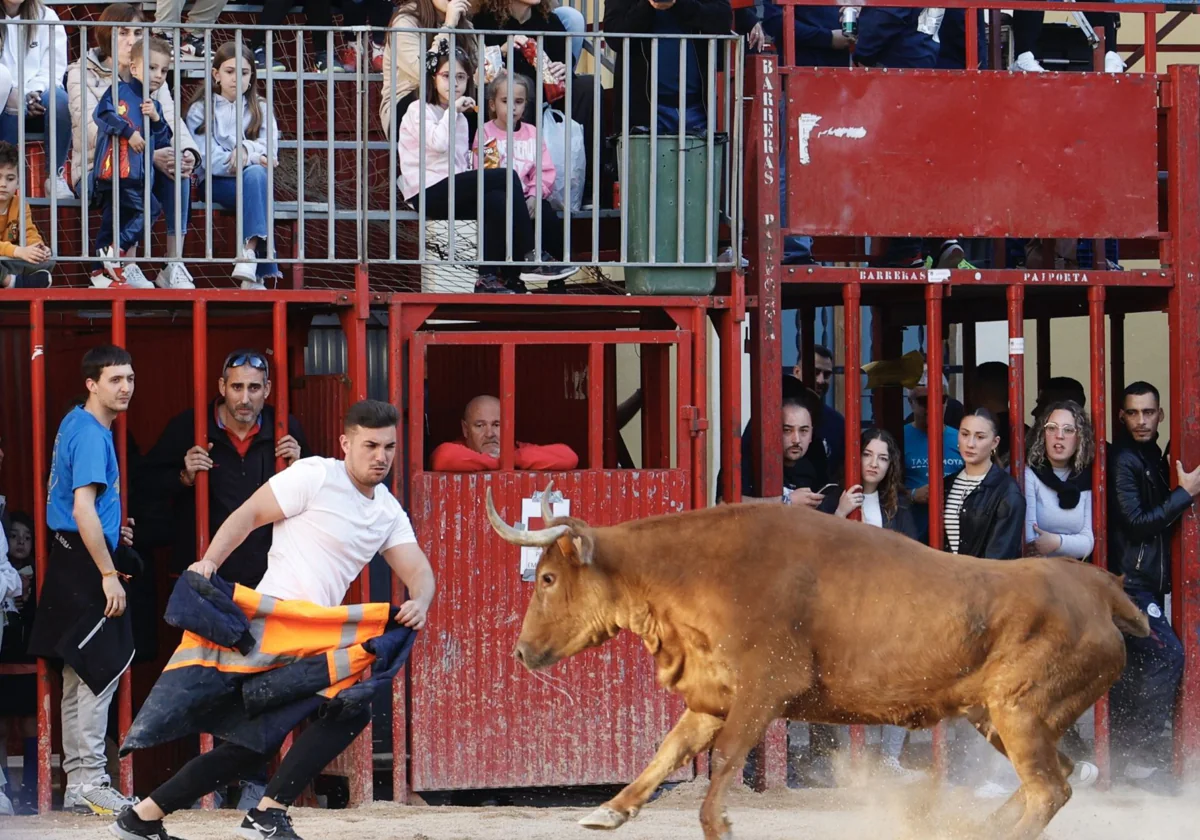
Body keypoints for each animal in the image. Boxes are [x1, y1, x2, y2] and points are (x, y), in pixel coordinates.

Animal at [487, 482, 1152, 840]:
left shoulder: (764, 688)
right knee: (1055, 776)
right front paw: (609, 810)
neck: (697, 568)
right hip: (1000, 718)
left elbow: (725, 759)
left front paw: (718, 823)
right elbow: (668, 751)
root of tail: (1098, 588)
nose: (519, 651)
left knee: (1047, 788)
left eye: (547, 578)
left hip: (1018, 712)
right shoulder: (713, 696)